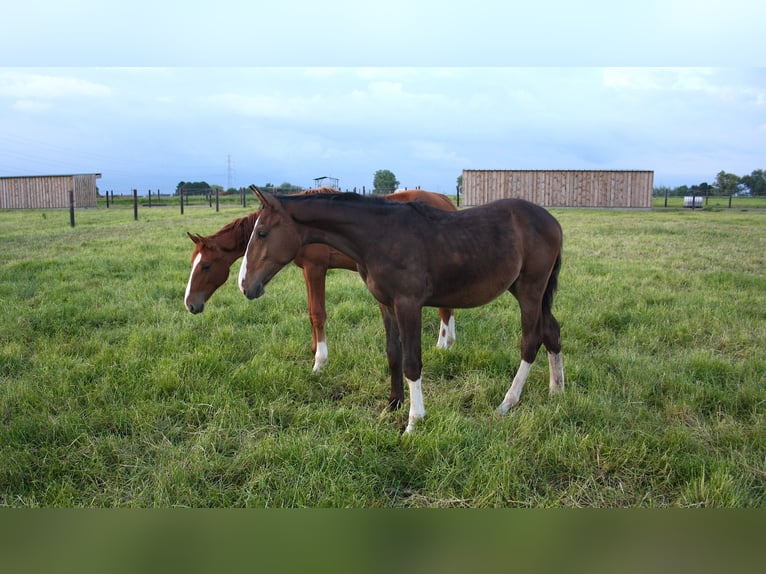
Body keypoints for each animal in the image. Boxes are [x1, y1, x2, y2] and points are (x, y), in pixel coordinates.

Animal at [186, 188, 460, 374]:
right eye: (192, 263)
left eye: (206, 266)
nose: (190, 304)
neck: (304, 228)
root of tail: (445, 200)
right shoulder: (308, 271)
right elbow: (311, 313)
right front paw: (313, 351)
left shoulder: (315, 269)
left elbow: (318, 313)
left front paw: (320, 362)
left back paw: (443, 345)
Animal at [243, 189, 568, 436]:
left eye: (262, 233)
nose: (246, 285)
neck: (380, 236)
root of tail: (552, 222)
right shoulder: (386, 305)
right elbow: (393, 354)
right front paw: (392, 406)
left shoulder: (408, 304)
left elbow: (412, 361)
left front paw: (414, 421)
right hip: (525, 290)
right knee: (552, 332)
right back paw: (556, 391)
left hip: (530, 290)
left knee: (530, 341)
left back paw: (508, 402)